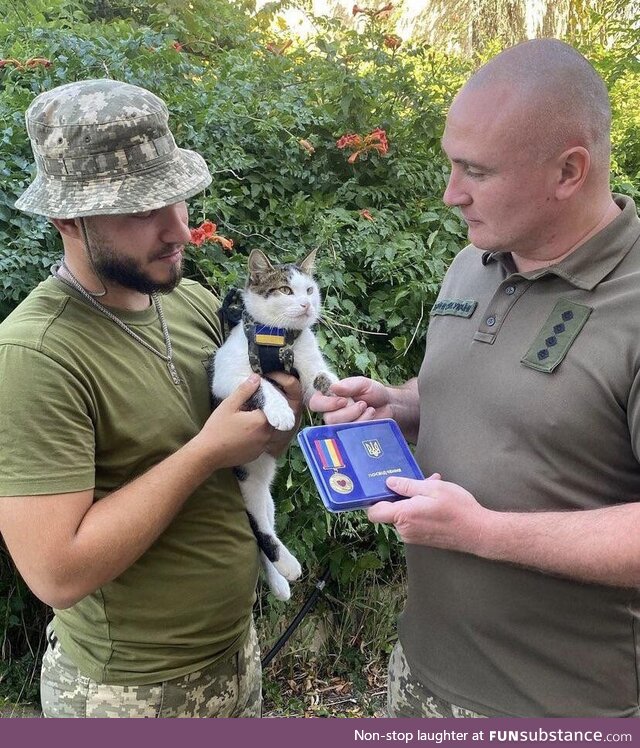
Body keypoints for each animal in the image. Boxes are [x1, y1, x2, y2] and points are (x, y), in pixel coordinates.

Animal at [211, 248, 340, 600]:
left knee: (263, 529)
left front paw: (346, 393)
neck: (278, 339)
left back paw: (280, 582)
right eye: (285, 290)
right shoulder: (225, 376)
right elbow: (260, 384)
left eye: (309, 289)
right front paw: (281, 410)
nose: (308, 305)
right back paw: (288, 566)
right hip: (246, 487)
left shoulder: (308, 362)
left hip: (265, 495)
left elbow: (321, 379)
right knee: (259, 531)